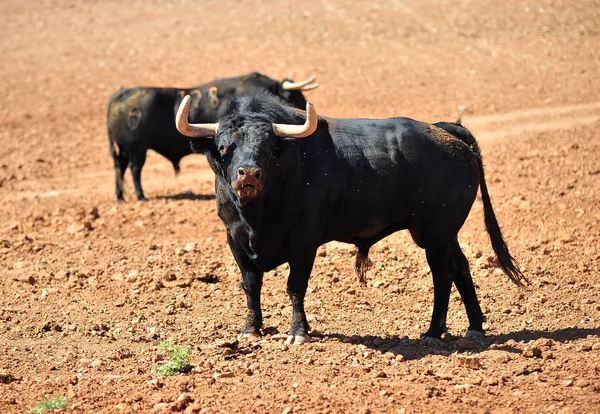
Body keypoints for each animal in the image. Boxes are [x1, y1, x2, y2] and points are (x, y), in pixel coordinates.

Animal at [106, 73, 318, 202]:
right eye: (295, 95)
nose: (301, 112)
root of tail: (121, 94)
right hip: (137, 149)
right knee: (134, 169)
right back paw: (140, 196)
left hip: (125, 149)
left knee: (120, 167)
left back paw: (120, 196)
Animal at [176, 91, 528, 346]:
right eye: (224, 147)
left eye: (270, 148)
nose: (248, 174)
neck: (257, 215)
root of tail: (447, 131)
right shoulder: (235, 240)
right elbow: (251, 285)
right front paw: (251, 329)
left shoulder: (304, 242)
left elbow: (295, 287)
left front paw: (298, 333)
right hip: (441, 233)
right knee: (462, 268)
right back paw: (474, 327)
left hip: (436, 233)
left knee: (443, 274)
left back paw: (433, 332)